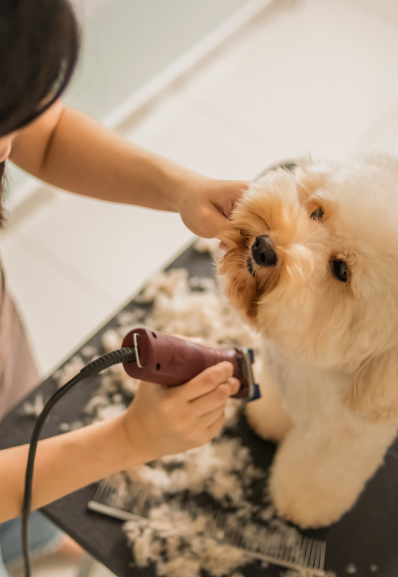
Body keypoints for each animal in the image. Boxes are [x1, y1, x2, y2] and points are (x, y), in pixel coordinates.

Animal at [219, 153, 398, 528]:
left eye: (341, 271)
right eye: (317, 212)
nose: (263, 247)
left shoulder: (345, 443)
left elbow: (318, 476)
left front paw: (301, 505)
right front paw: (268, 418)